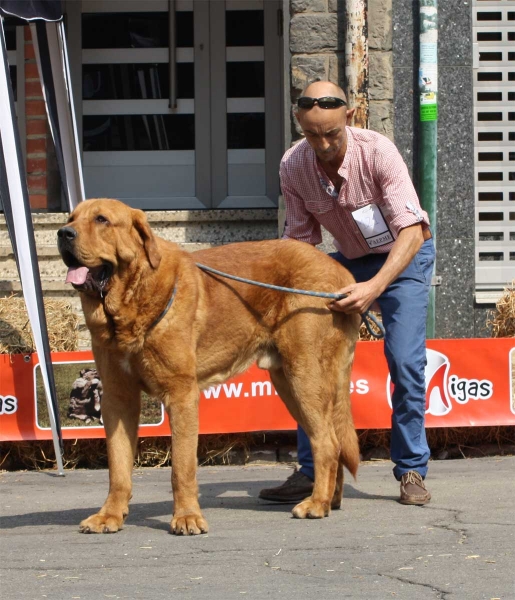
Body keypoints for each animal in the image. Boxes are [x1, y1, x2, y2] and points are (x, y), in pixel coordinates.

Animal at [57, 197, 358, 536]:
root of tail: (341, 273)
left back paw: (316, 503)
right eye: (71, 218)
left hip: (304, 375)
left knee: (327, 442)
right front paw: (109, 515)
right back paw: (330, 500)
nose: (63, 233)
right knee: (332, 438)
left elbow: (182, 466)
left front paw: (187, 517)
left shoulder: (181, 394)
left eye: (101, 220)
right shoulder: (118, 399)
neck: (130, 302)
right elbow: (118, 467)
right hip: (288, 383)